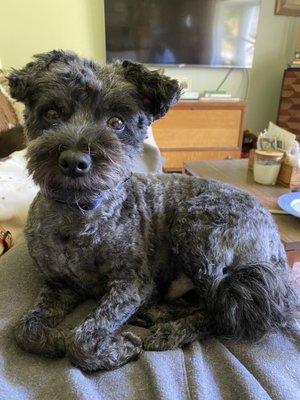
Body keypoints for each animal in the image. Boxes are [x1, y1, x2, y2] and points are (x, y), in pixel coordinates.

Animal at [8, 51, 298, 374]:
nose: (74, 161)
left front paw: (119, 348)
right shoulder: (59, 285)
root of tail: (276, 244)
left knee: (219, 310)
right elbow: (24, 329)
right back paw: (154, 313)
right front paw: (55, 338)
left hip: (197, 227)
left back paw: (168, 332)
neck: (81, 215)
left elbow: (82, 338)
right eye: (52, 113)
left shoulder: (133, 283)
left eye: (116, 122)